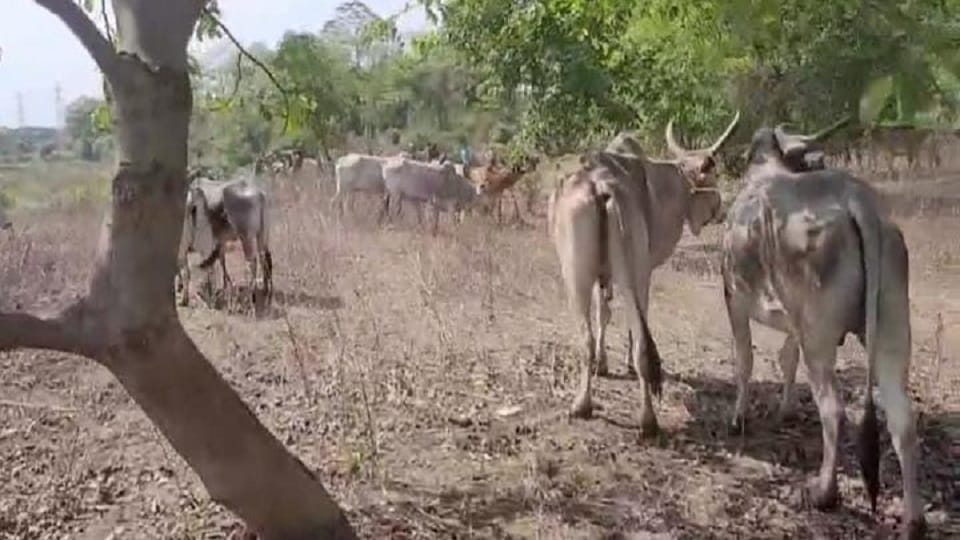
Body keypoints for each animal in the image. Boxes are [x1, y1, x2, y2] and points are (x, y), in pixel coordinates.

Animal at [178, 175, 273, 310]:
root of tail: (260, 194)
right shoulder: (218, 243)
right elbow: (221, 262)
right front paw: (223, 287)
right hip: (261, 235)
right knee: (264, 258)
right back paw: (264, 290)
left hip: (246, 237)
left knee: (252, 263)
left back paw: (250, 295)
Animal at [547, 111, 740, 435]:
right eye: (712, 175)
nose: (721, 209)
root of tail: (602, 185)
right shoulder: (646, 270)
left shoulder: (606, 277)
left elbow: (603, 315)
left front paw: (603, 364)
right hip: (632, 275)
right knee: (640, 344)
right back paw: (646, 419)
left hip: (576, 274)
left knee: (587, 338)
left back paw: (583, 405)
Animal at [721, 126, 924, 539]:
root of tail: (856, 198)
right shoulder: (793, 323)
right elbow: (786, 359)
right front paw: (784, 411)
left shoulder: (734, 298)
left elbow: (745, 360)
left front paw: (738, 419)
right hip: (892, 329)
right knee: (902, 419)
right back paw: (913, 519)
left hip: (820, 336)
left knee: (833, 409)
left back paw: (824, 492)